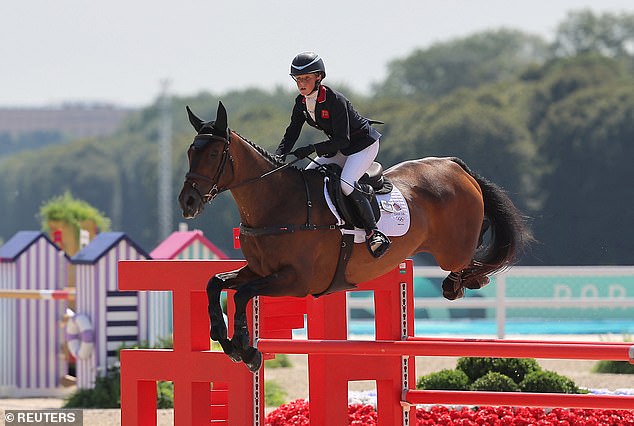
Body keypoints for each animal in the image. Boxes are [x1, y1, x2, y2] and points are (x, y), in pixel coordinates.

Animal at [177, 101, 528, 372]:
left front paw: (245, 349)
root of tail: (452, 165)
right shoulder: (260, 270)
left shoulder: (297, 280)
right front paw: (227, 341)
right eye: (190, 153)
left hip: (452, 249)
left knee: (471, 255)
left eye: (213, 155)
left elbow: (241, 294)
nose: (187, 202)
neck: (277, 203)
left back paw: (462, 282)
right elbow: (216, 284)